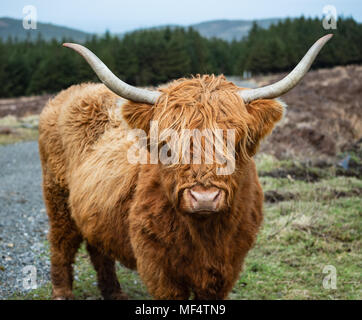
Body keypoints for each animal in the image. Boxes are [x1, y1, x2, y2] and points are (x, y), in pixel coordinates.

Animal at [38, 33, 332, 298]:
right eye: (167, 143)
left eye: (235, 139)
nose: (204, 198)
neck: (205, 234)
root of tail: (75, 92)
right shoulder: (158, 268)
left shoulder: (227, 266)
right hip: (57, 197)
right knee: (61, 243)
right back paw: (62, 293)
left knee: (97, 247)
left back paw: (114, 293)